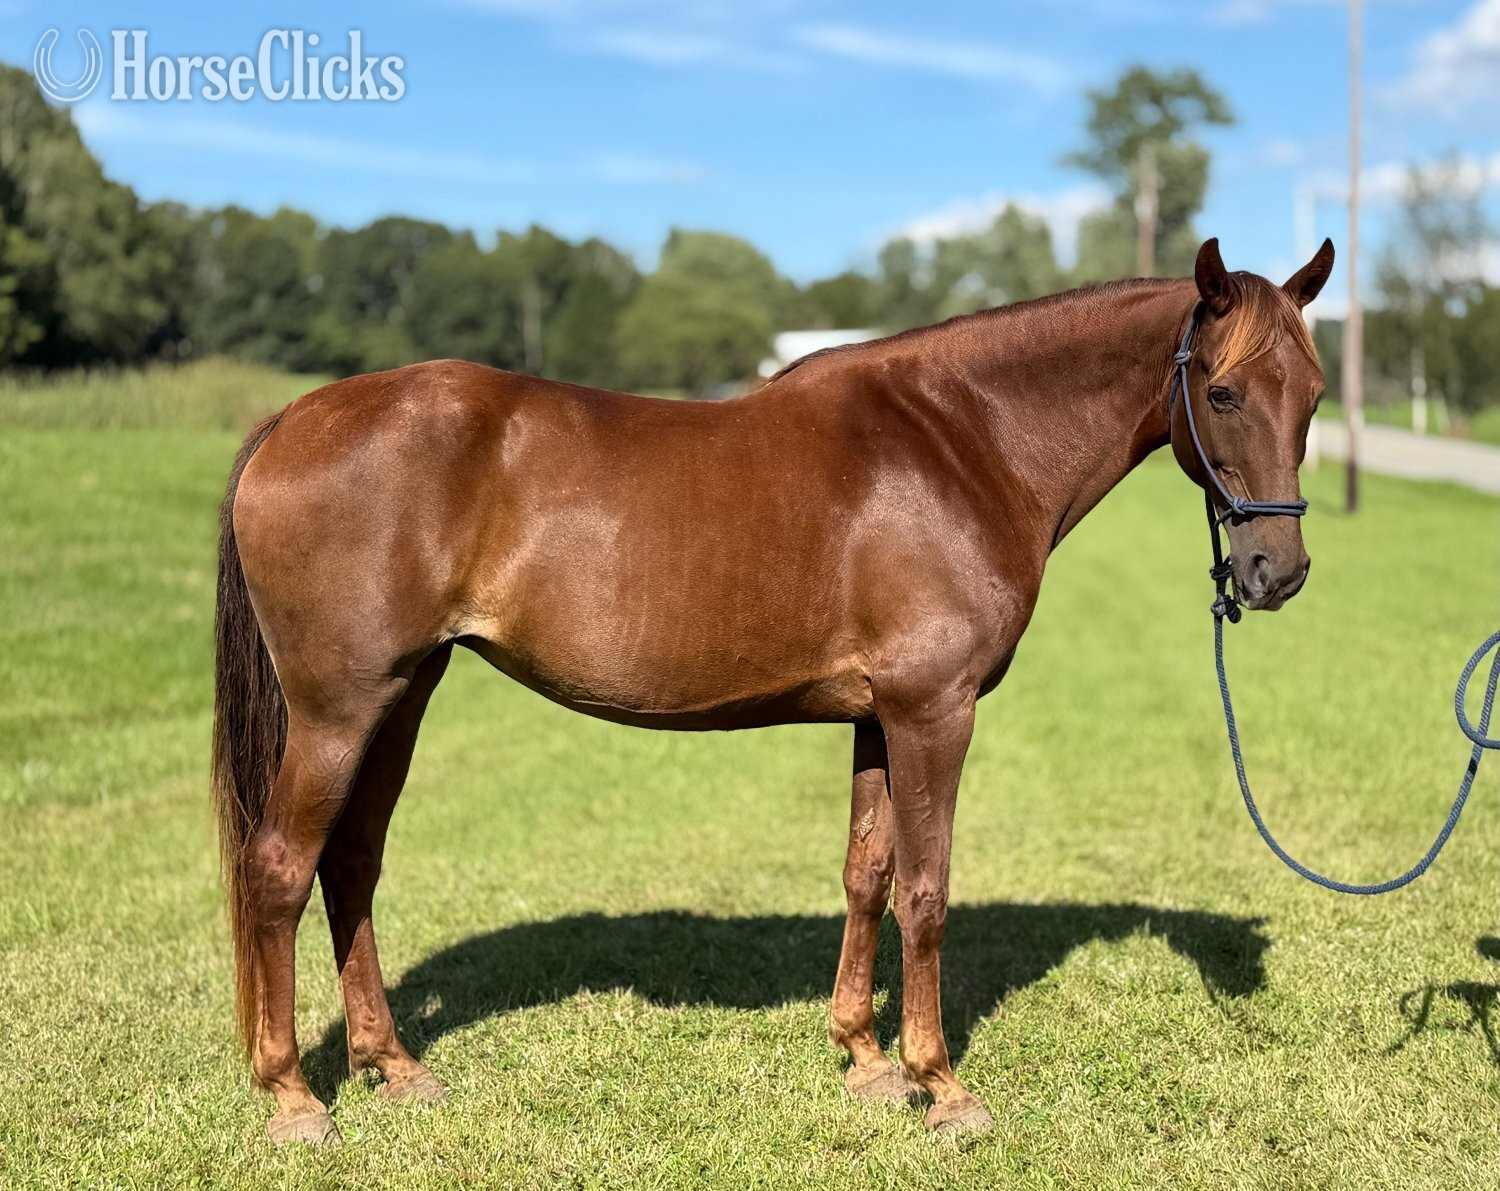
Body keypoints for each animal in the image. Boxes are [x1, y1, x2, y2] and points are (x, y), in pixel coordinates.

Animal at [213, 236, 1335, 1144]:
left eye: (1315, 397)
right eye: (1223, 394)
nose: (1277, 572)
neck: (961, 440)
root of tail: (291, 419)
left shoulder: (881, 717)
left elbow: (867, 874)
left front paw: (868, 1061)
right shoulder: (935, 711)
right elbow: (927, 891)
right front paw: (944, 1087)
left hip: (402, 695)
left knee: (351, 864)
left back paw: (392, 1068)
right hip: (339, 711)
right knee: (280, 868)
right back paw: (294, 1099)